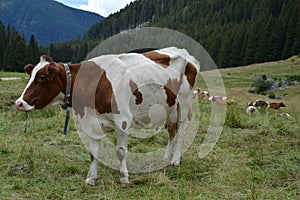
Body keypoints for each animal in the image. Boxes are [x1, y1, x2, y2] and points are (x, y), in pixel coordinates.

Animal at [15, 46, 200, 186]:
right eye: (31, 76)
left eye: (42, 77)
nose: (19, 103)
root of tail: (184, 52)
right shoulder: (91, 121)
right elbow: (93, 152)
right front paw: (91, 178)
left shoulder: (122, 120)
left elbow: (121, 151)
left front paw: (124, 177)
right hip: (169, 108)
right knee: (171, 131)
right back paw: (166, 157)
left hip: (184, 104)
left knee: (181, 131)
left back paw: (175, 160)